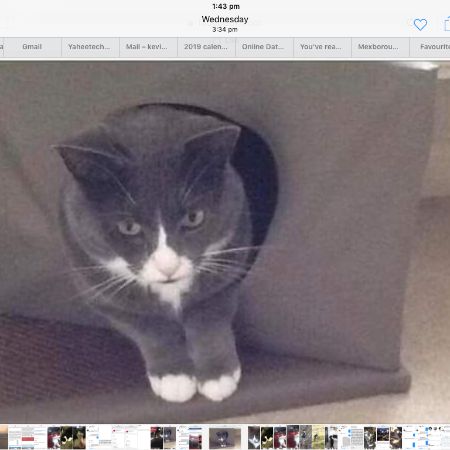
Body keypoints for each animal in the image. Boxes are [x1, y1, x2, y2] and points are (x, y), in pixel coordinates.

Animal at [57, 103, 254, 403]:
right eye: (129, 227)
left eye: (194, 217)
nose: (167, 266)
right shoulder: (97, 285)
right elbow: (149, 327)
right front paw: (174, 378)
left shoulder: (231, 259)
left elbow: (208, 314)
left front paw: (217, 376)